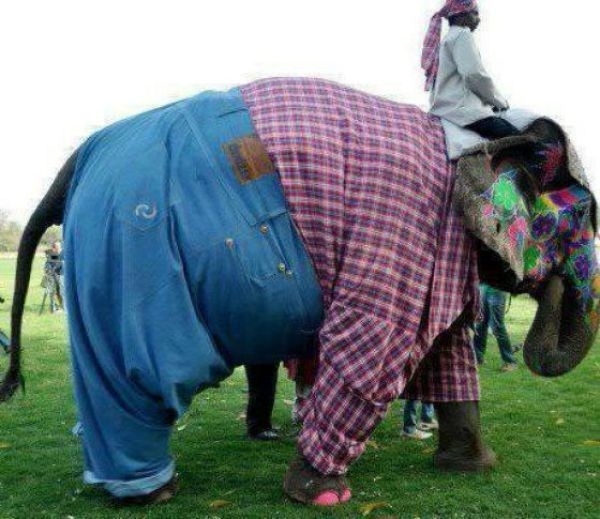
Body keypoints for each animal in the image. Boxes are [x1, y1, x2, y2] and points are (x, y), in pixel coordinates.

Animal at [1, 78, 600, 508]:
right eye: (585, 219)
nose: (549, 286)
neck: (475, 137)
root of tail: (77, 161)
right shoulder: (397, 225)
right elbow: (380, 336)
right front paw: (321, 496)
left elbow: (448, 350)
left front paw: (471, 466)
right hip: (130, 255)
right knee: (141, 374)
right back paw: (151, 493)